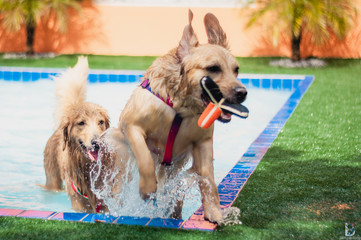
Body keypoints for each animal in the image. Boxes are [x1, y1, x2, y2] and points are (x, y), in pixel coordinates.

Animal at [42, 56, 110, 214]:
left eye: (101, 122)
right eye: (81, 123)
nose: (97, 143)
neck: (86, 166)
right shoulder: (79, 202)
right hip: (52, 178)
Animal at [101, 9, 248, 223]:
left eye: (236, 70)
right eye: (213, 68)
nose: (242, 93)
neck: (180, 108)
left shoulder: (203, 142)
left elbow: (208, 179)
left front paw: (214, 212)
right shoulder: (132, 125)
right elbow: (145, 157)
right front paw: (147, 188)